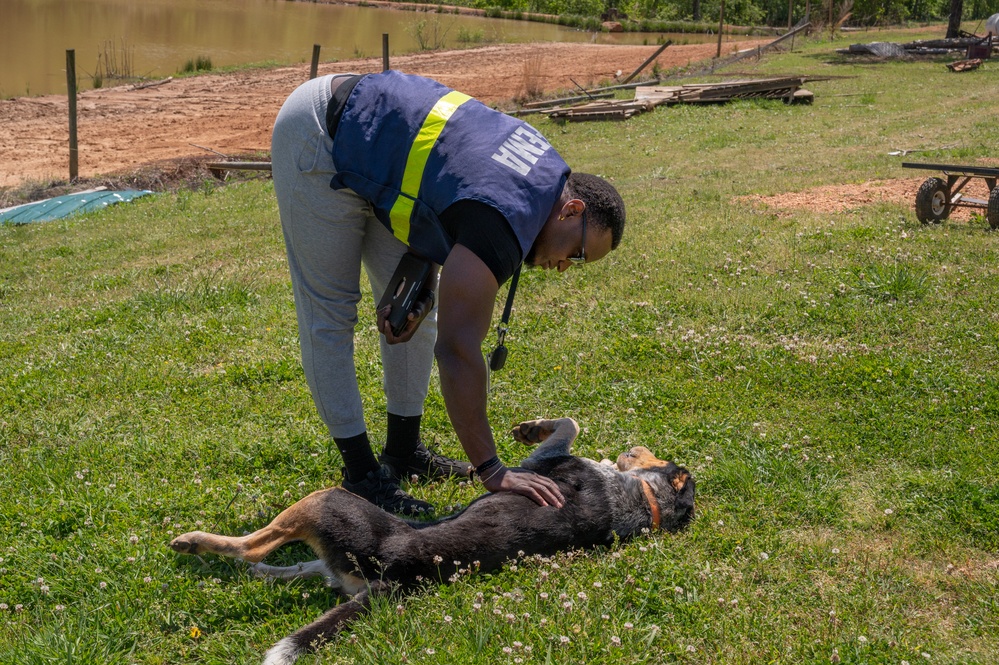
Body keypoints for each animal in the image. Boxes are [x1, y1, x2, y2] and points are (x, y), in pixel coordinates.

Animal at [170, 418, 696, 660]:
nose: (634, 445)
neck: (643, 502)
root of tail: (394, 584)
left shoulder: (543, 462)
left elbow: (569, 422)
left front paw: (531, 428)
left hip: (325, 501)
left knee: (252, 545)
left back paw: (192, 542)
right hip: (334, 557)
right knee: (292, 567)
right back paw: (258, 572)